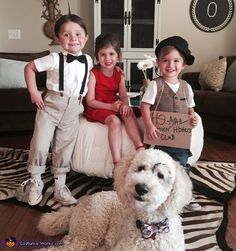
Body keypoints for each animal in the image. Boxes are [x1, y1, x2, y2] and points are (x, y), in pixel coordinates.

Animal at [36, 150, 193, 250]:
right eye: (140, 168)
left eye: (161, 175)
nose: (141, 188)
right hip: (88, 231)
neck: (151, 227)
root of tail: (80, 204)